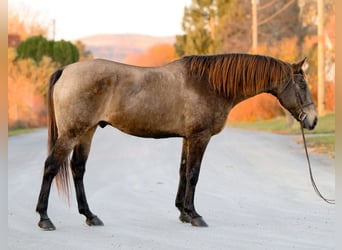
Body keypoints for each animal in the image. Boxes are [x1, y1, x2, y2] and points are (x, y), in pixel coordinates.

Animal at [36, 52, 316, 230]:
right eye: (302, 85)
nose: (312, 120)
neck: (209, 84)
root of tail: (65, 71)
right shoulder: (200, 137)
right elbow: (193, 174)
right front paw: (195, 215)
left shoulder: (187, 138)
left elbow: (182, 171)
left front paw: (182, 212)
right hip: (72, 132)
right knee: (51, 166)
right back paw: (44, 218)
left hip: (87, 131)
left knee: (78, 169)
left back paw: (91, 216)